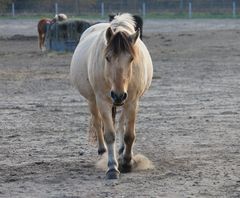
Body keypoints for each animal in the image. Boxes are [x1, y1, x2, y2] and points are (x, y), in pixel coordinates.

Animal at [69, 12, 153, 179]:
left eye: (131, 58)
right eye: (107, 57)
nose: (118, 95)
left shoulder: (132, 101)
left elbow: (129, 135)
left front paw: (127, 162)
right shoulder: (103, 101)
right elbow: (109, 134)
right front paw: (112, 167)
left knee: (120, 123)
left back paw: (121, 150)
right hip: (93, 100)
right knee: (97, 122)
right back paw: (102, 151)